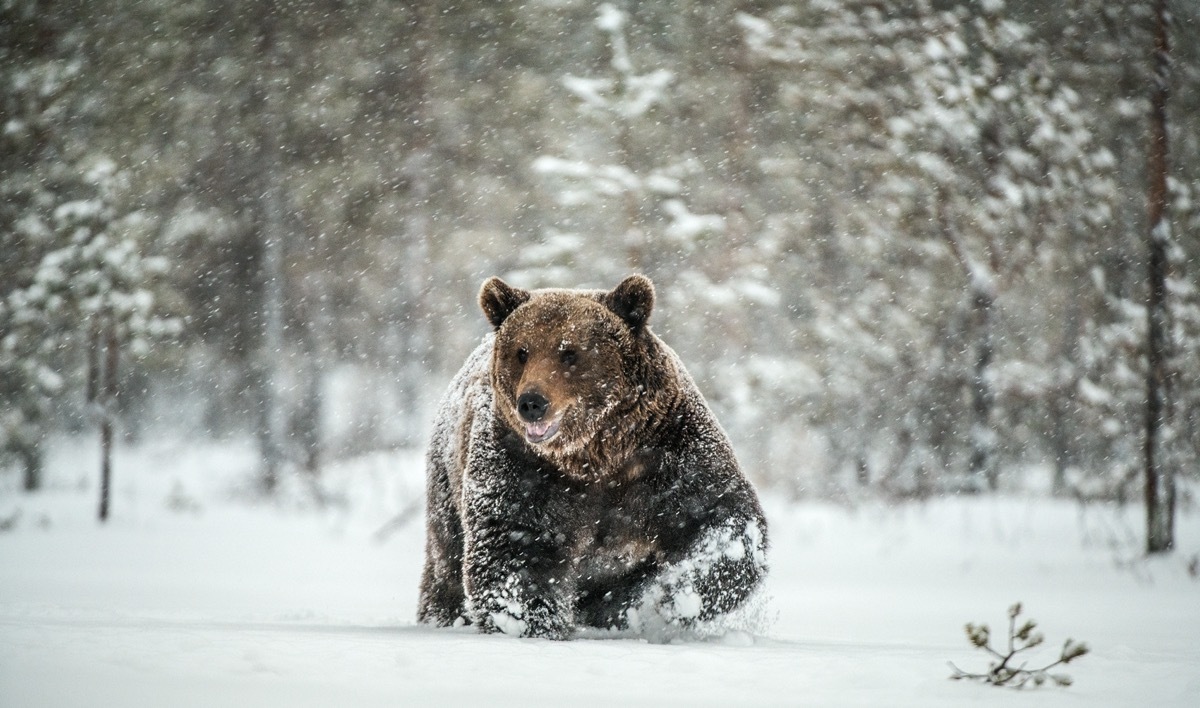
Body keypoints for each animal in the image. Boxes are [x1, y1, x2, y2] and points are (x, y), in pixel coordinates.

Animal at [417, 274, 767, 640]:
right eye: (522, 352)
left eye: (569, 352)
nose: (532, 402)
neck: (595, 455)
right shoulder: (522, 466)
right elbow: (515, 545)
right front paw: (531, 624)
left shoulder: (668, 452)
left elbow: (720, 518)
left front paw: (674, 596)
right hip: (446, 483)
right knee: (446, 564)